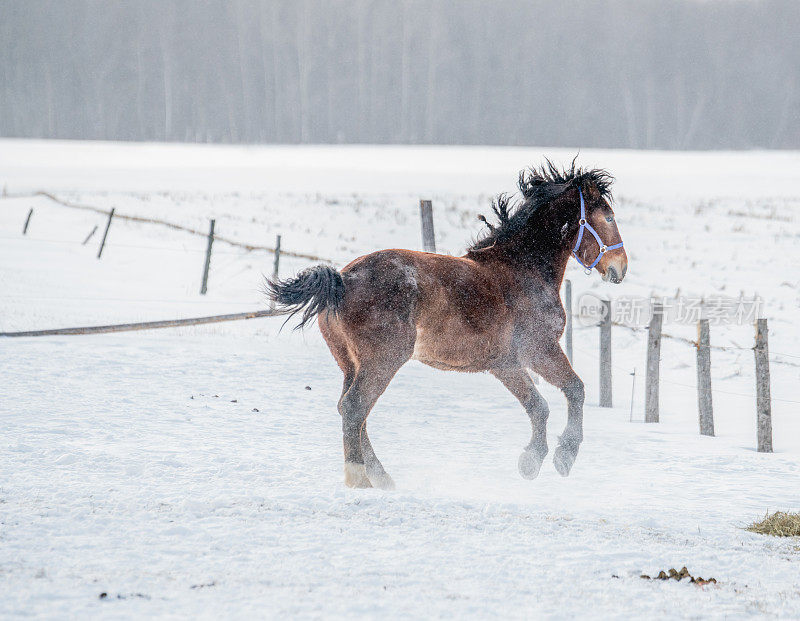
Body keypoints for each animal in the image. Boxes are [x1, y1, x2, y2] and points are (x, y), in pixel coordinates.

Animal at [266, 161, 628, 490]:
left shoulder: (505, 363)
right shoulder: (539, 351)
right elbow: (575, 390)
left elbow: (538, 406)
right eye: (609, 217)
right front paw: (562, 458)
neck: (523, 271)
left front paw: (531, 462)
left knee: (351, 411)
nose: (620, 268)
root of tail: (342, 280)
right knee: (355, 409)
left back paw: (380, 477)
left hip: (351, 364)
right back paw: (359, 479)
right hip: (382, 362)